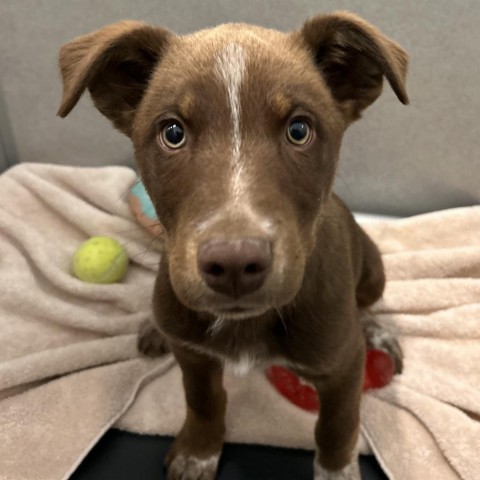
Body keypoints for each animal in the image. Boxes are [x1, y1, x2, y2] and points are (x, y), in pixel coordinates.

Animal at [58, 12, 406, 480]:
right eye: (173, 132)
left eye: (299, 130)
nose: (235, 265)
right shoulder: (194, 356)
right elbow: (203, 401)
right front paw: (198, 451)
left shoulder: (343, 367)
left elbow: (337, 425)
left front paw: (336, 470)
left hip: (372, 270)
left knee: (366, 302)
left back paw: (376, 331)